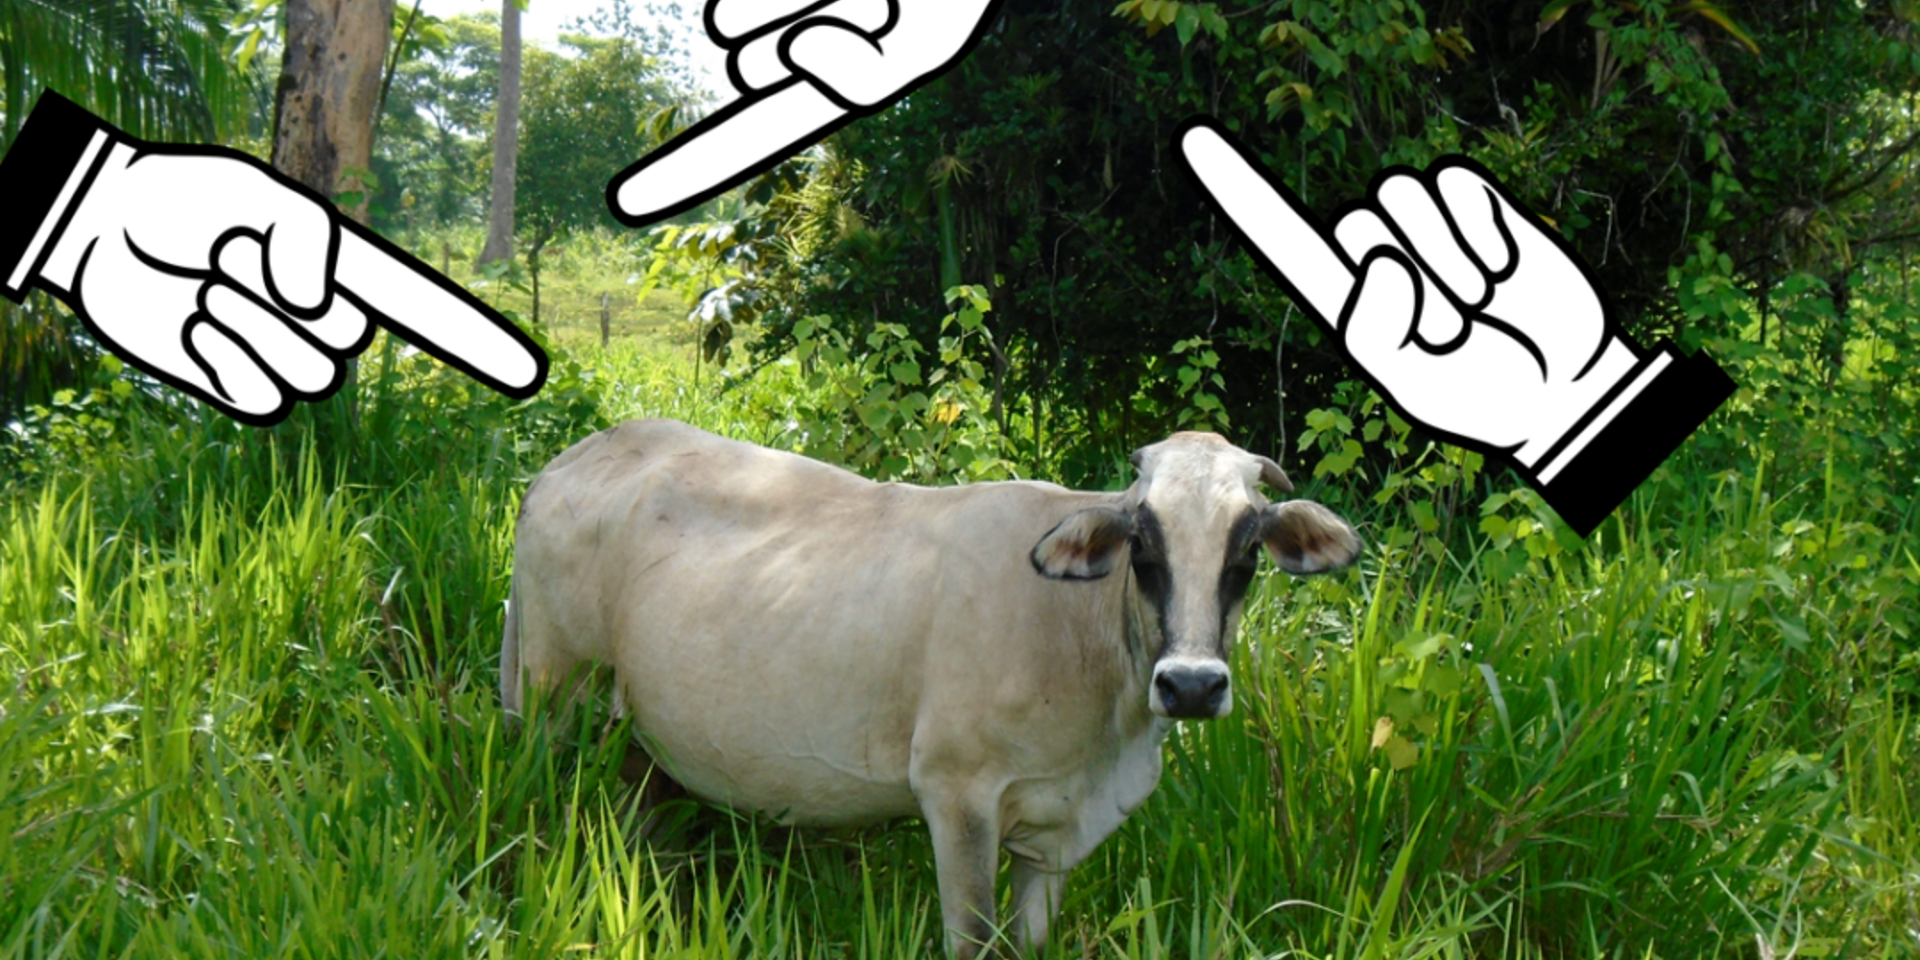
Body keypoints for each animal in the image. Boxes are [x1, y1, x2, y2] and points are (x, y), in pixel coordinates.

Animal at [501, 418, 1361, 958]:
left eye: (1246, 550)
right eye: (1141, 544)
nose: (1189, 685)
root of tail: (573, 457)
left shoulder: (1061, 832)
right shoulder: (957, 792)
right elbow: (973, 940)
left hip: (637, 736)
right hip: (550, 697)